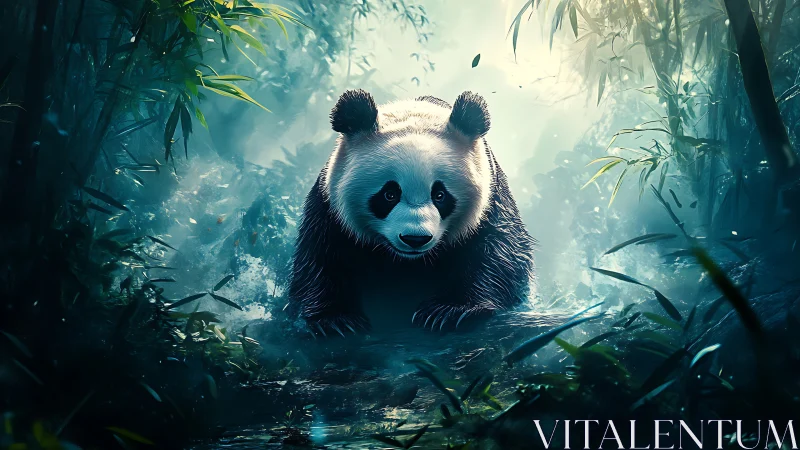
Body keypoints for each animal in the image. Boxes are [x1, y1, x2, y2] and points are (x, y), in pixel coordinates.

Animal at [287, 89, 535, 336]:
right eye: (389, 194)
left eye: (440, 195)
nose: (415, 239)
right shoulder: (329, 206)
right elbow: (321, 256)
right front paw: (335, 319)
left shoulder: (491, 200)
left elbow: (500, 252)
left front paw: (450, 310)